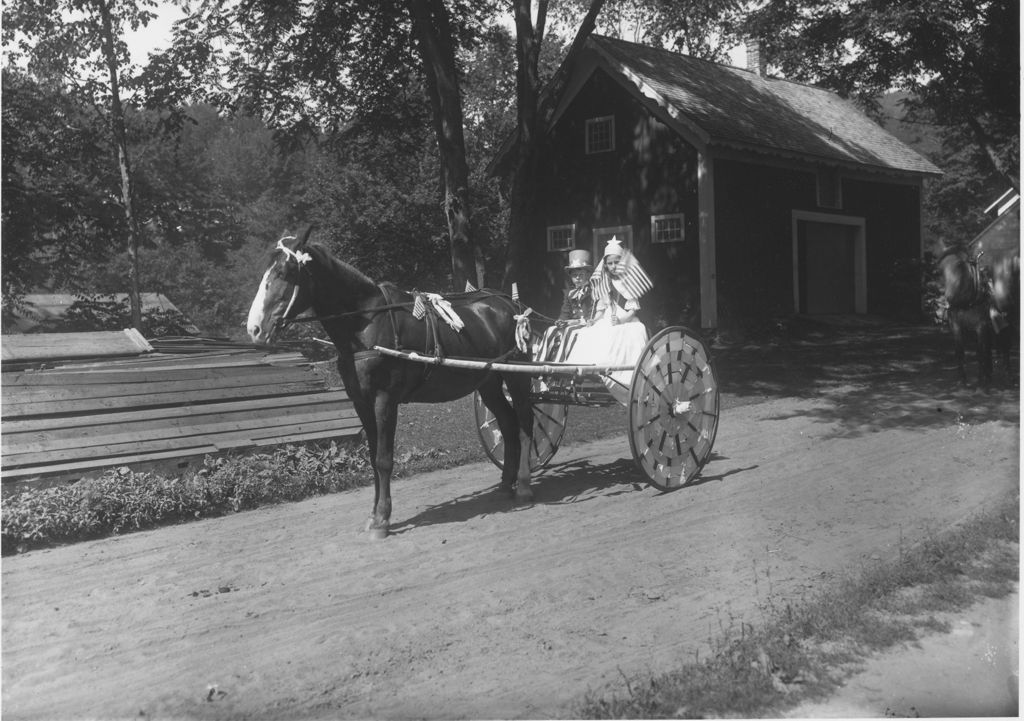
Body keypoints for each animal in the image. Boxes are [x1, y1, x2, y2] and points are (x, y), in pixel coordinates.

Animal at [245, 225, 536, 536]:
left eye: (285, 272)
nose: (255, 328)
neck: (366, 323)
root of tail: (507, 303)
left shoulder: (385, 399)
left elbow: (384, 460)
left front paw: (383, 519)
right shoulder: (361, 402)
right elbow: (373, 458)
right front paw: (374, 515)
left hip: (516, 377)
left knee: (524, 424)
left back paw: (524, 486)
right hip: (488, 382)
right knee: (507, 424)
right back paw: (506, 484)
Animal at [937, 244, 1015, 385]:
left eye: (959, 265)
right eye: (941, 270)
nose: (948, 297)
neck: (966, 301)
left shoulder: (981, 327)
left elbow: (980, 352)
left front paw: (980, 380)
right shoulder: (956, 326)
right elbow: (960, 352)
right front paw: (962, 380)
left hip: (1005, 322)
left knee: (1005, 344)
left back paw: (1007, 375)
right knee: (989, 346)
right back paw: (989, 373)